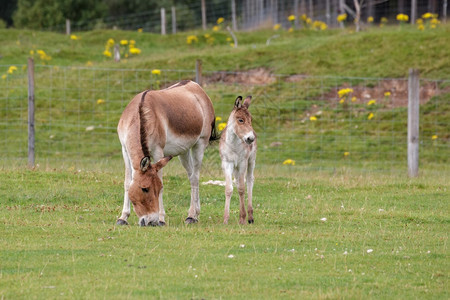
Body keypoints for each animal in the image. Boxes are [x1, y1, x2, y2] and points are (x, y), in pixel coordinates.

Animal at [116, 81, 218, 226]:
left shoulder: (158, 152)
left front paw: (161, 219)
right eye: (144, 189)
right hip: (183, 151)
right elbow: (127, 182)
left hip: (200, 145)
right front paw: (123, 217)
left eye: (157, 188)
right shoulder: (125, 150)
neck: (139, 114)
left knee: (195, 178)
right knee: (191, 176)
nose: (151, 221)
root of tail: (196, 86)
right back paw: (195, 214)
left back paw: (191, 216)